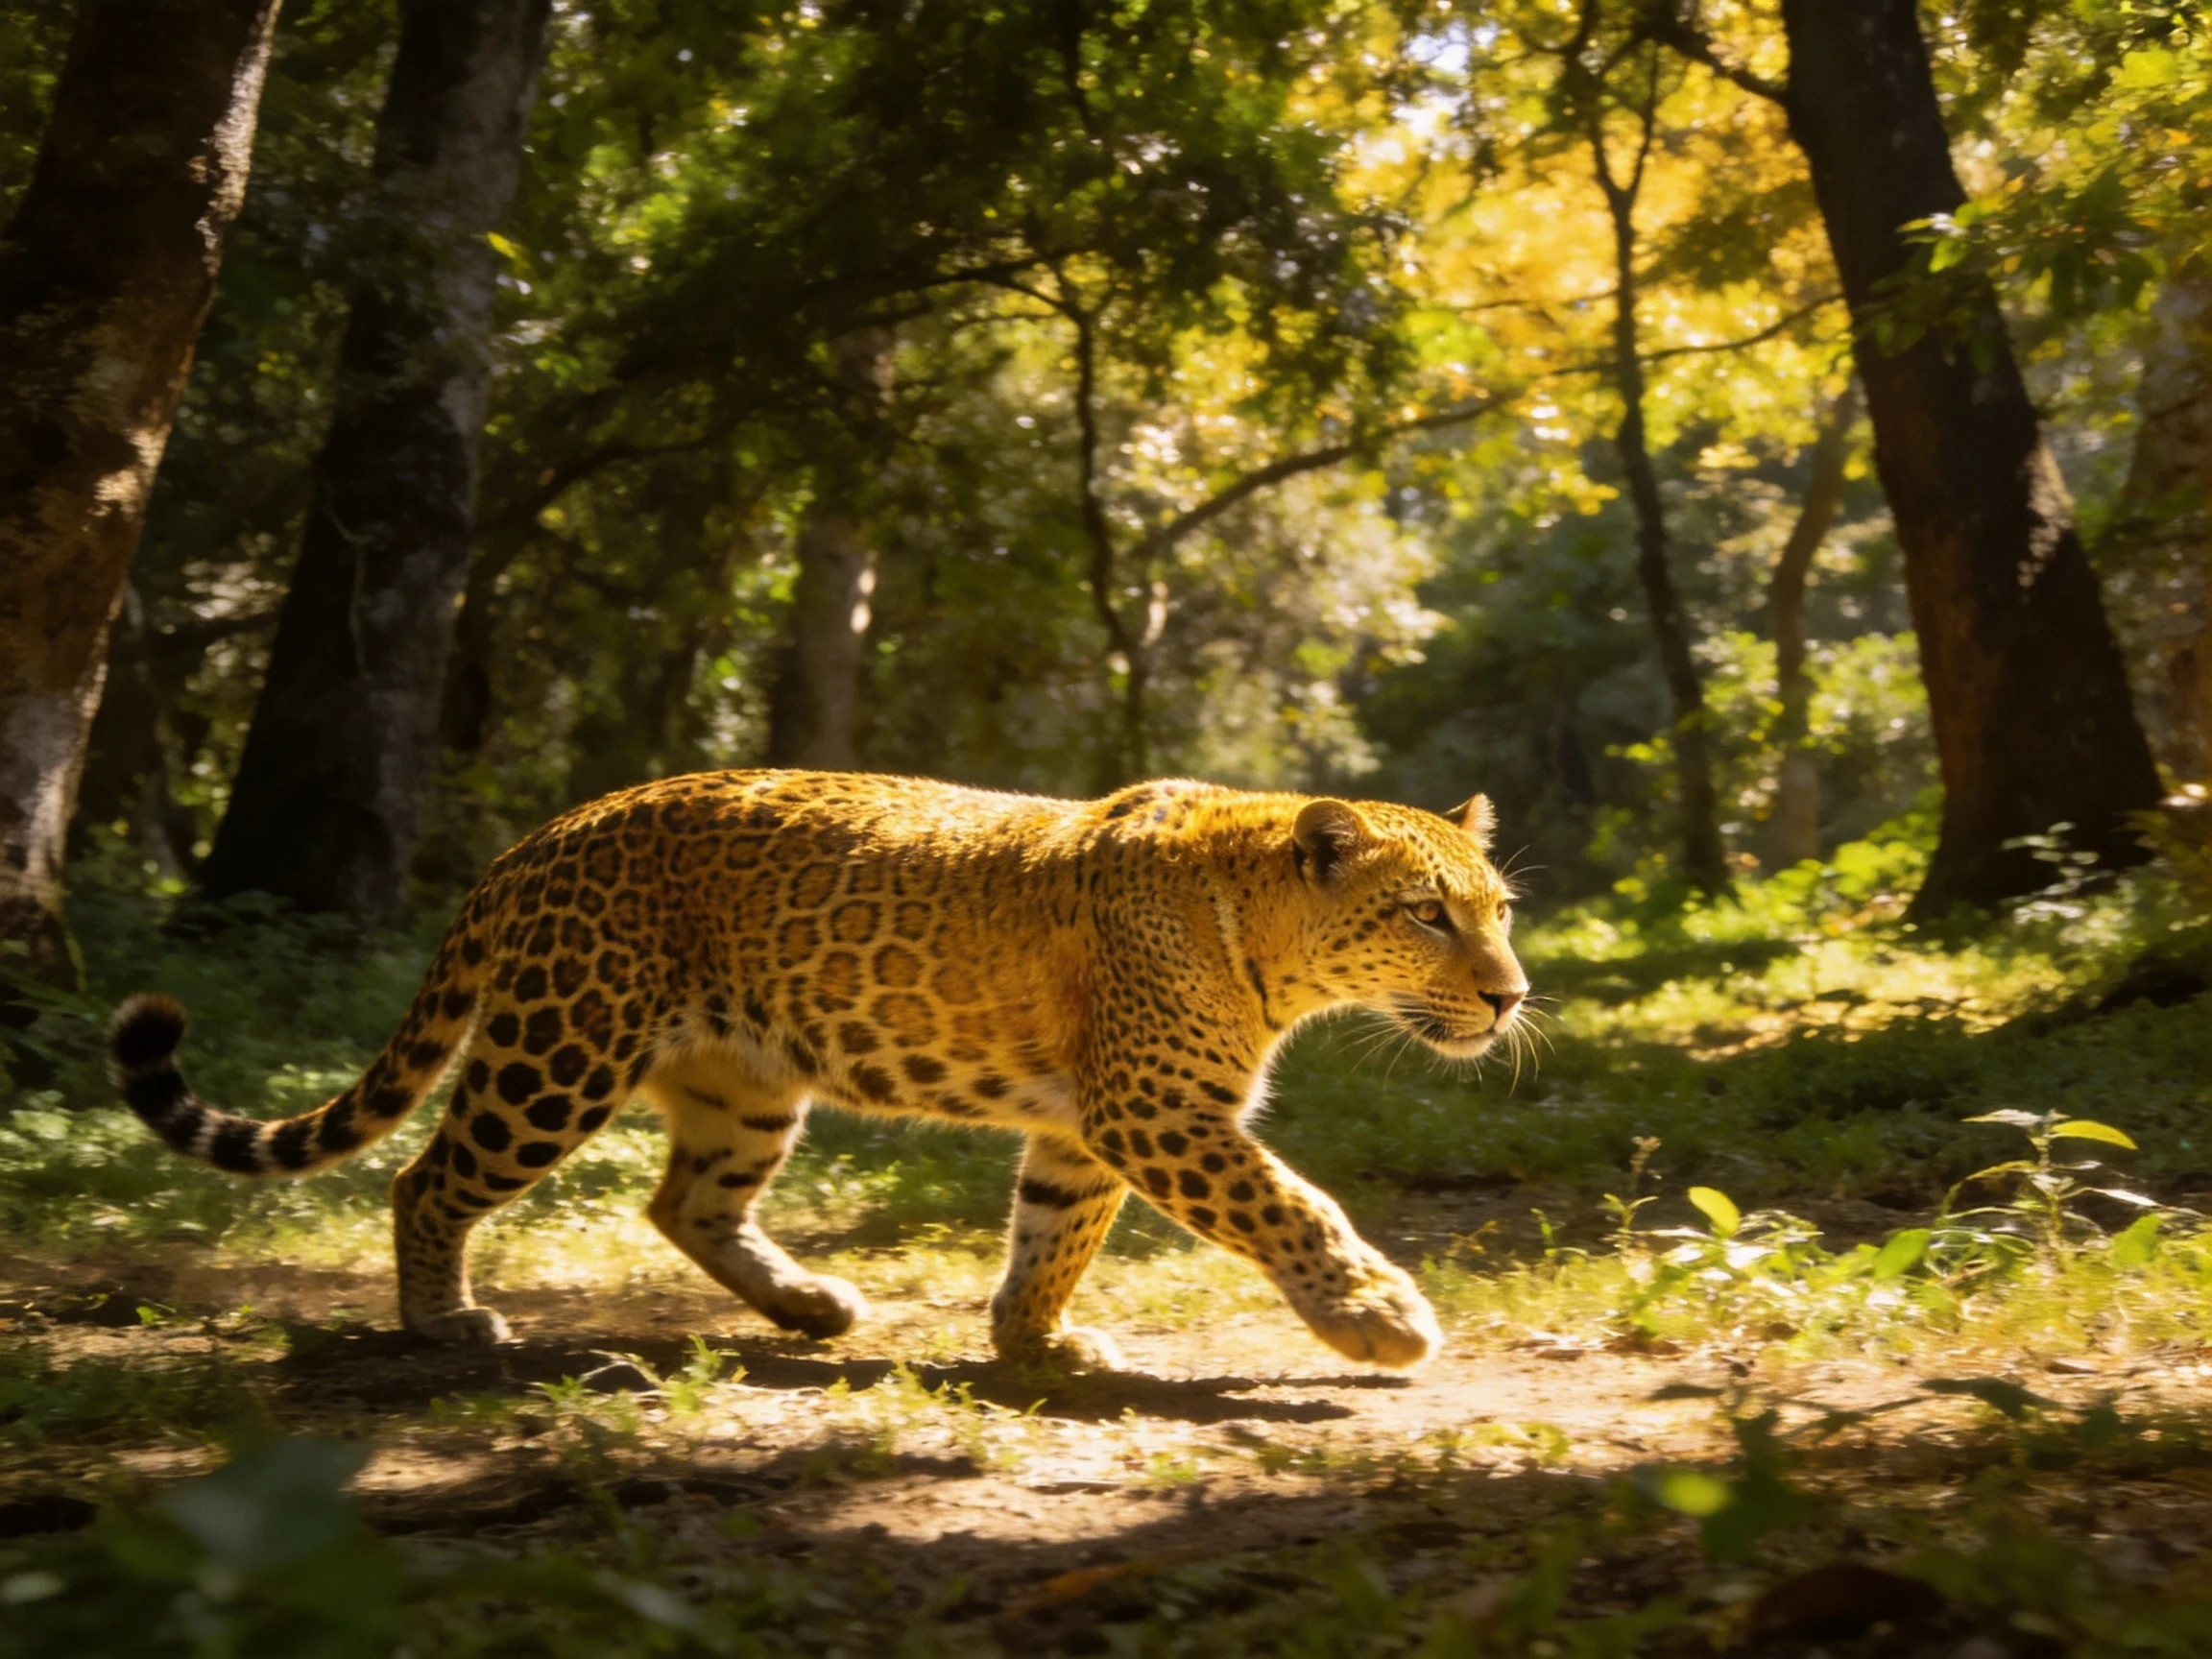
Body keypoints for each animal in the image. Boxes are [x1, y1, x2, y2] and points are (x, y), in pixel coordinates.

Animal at [110, 770, 1529, 1371]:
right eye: (1426, 917)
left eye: (1501, 909)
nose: (1513, 994)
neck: (1266, 939)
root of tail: (537, 835)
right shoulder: (1155, 1109)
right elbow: (1294, 1206)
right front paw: (1376, 1319)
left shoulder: (1090, 1126)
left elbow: (1052, 1236)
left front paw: (1034, 1342)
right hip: (557, 1052)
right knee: (427, 1179)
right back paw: (441, 1321)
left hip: (742, 1083)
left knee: (683, 1201)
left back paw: (807, 1307)